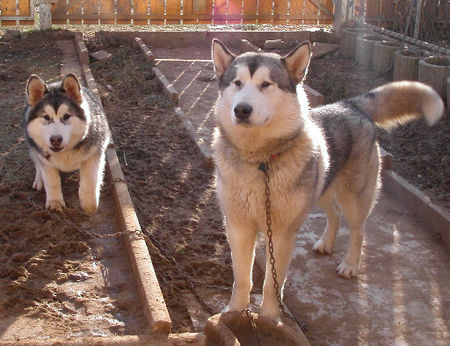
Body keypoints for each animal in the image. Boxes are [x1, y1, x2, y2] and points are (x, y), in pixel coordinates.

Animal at [24, 73, 110, 214]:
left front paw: (88, 204)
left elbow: (90, 181)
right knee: (37, 163)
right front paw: (54, 202)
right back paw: (39, 179)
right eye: (46, 117)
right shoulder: (45, 159)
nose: (55, 139)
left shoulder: (94, 155)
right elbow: (51, 181)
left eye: (67, 116)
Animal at [212, 37, 442, 318]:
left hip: (355, 197)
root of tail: (349, 104)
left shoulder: (281, 232)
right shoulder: (237, 226)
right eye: (237, 83)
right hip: (322, 187)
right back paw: (326, 243)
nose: (242, 109)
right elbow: (242, 278)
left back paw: (351, 264)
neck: (260, 161)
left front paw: (269, 317)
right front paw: (233, 312)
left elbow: (271, 283)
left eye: (266, 84)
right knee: (334, 213)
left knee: (358, 230)